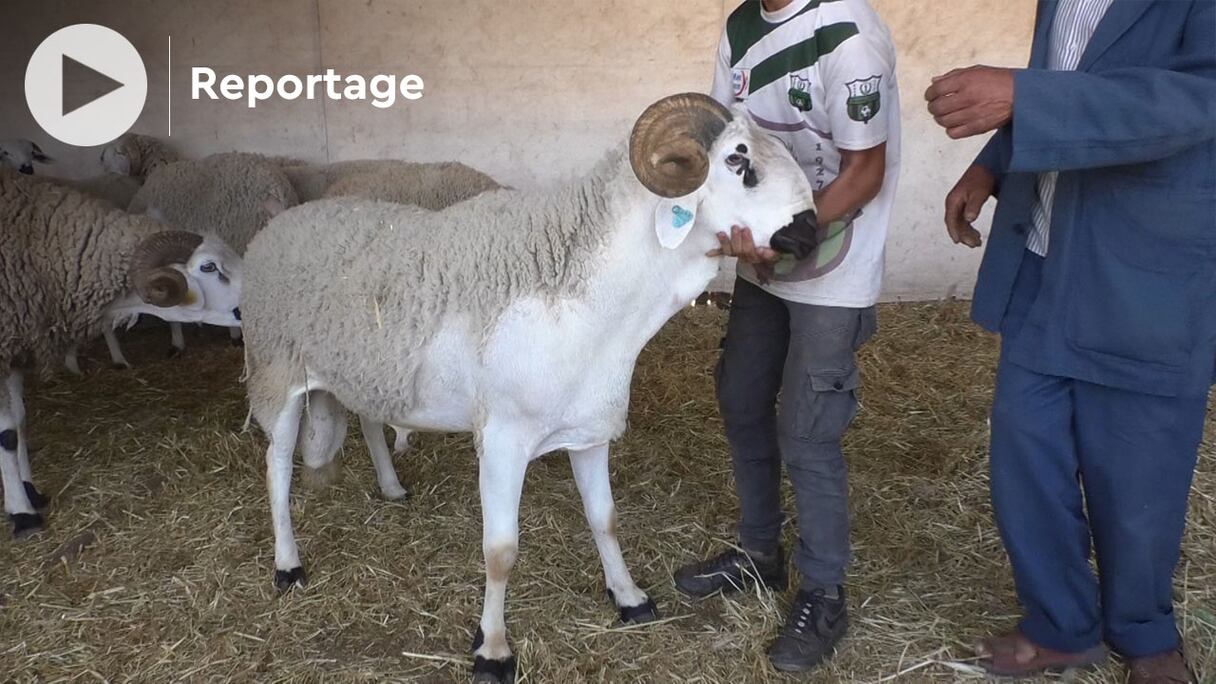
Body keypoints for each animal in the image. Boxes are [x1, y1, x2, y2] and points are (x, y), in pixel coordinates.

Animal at [0, 169, 243, 538]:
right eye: (209, 267)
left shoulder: (16, 343)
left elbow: (19, 420)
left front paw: (30, 492)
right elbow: (6, 433)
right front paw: (22, 513)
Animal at [240, 94, 820, 682]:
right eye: (738, 160)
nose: (810, 231)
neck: (593, 294)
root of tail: (279, 223)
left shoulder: (589, 429)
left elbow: (605, 520)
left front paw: (629, 597)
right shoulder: (502, 440)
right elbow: (500, 551)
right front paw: (492, 650)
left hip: (366, 369)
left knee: (368, 418)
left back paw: (391, 486)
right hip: (275, 371)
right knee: (276, 468)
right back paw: (288, 565)